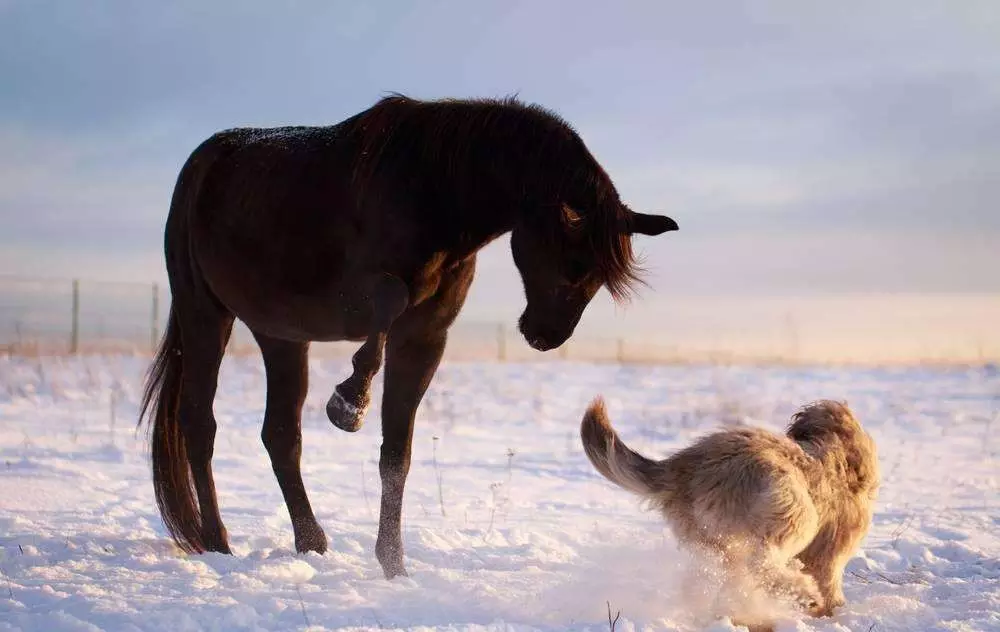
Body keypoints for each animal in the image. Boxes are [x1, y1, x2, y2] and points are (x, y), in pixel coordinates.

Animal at [137, 94, 676, 576]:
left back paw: (311, 542)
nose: (546, 336)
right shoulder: (363, 297)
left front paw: (394, 566)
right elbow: (390, 303)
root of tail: (202, 165)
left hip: (283, 336)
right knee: (199, 424)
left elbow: (397, 455)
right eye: (573, 261)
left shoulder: (425, 338)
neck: (435, 193)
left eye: (598, 275)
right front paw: (348, 403)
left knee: (281, 436)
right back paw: (216, 542)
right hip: (205, 314)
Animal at [584, 398, 880, 624]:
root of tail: (687, 466)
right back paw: (802, 594)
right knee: (762, 562)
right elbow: (829, 578)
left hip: (709, 540)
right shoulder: (831, 552)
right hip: (793, 512)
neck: (836, 455)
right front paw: (832, 610)